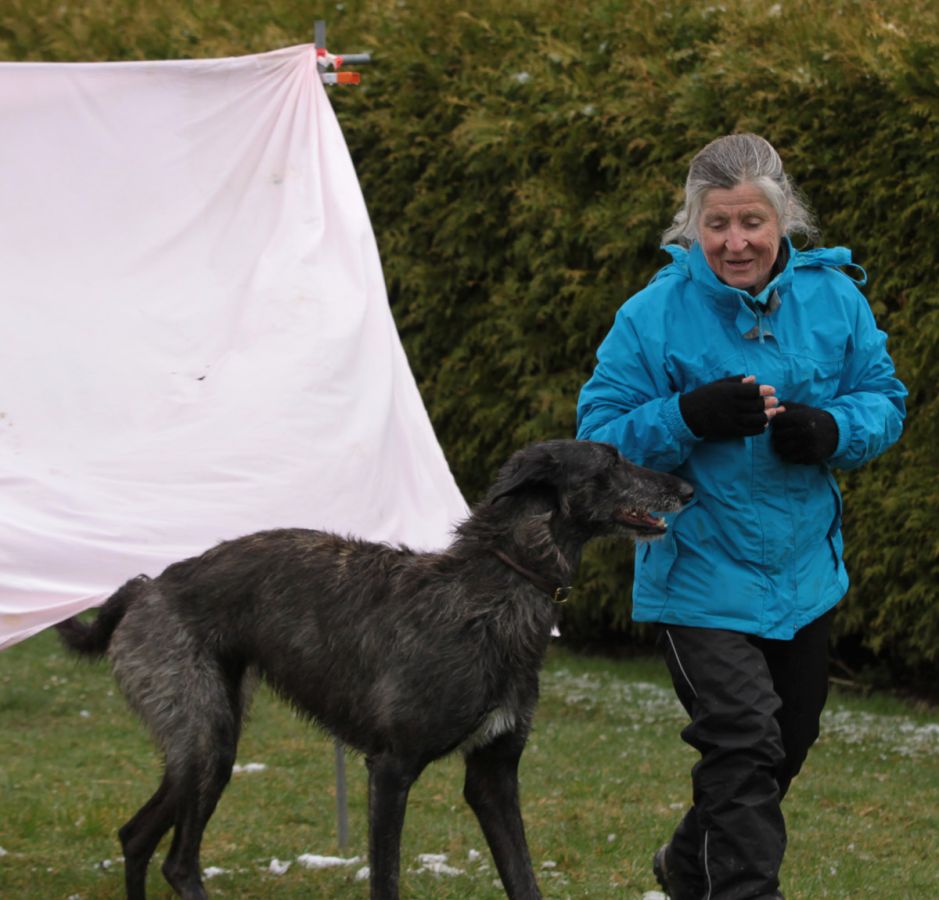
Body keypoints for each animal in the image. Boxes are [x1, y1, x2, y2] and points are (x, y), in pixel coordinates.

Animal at [56, 439, 693, 900]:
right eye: (610, 460)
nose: (687, 486)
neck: (492, 589)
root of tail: (147, 587)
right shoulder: (390, 769)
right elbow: (386, 880)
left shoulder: (494, 774)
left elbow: (524, 880)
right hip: (203, 737)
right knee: (178, 863)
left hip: (206, 743)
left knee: (136, 836)